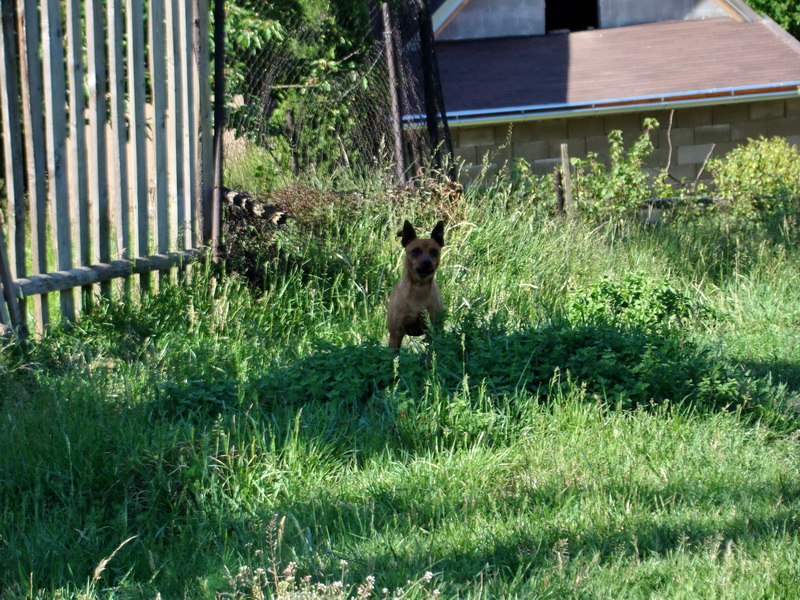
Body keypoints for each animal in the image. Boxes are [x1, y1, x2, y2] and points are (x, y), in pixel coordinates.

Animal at [386, 221, 444, 352]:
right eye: (415, 251)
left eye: (434, 251)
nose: (427, 262)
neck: (418, 288)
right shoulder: (396, 334)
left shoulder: (431, 331)